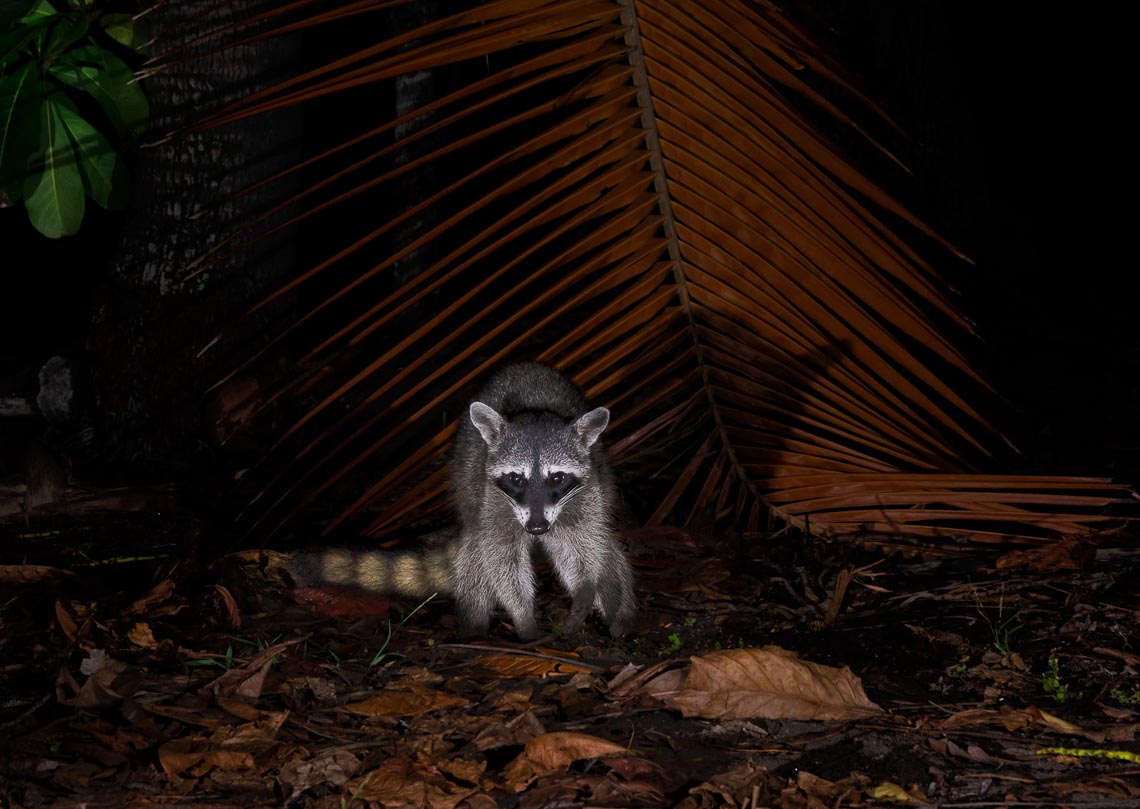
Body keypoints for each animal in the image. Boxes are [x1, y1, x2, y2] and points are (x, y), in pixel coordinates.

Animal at [289, 364, 638, 642]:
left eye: (556, 478)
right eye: (517, 478)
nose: (537, 528)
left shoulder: (586, 494)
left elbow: (584, 549)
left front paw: (586, 591)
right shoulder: (492, 497)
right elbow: (501, 559)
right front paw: (524, 619)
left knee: (608, 550)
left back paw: (619, 618)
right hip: (467, 485)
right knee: (475, 556)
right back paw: (474, 629)